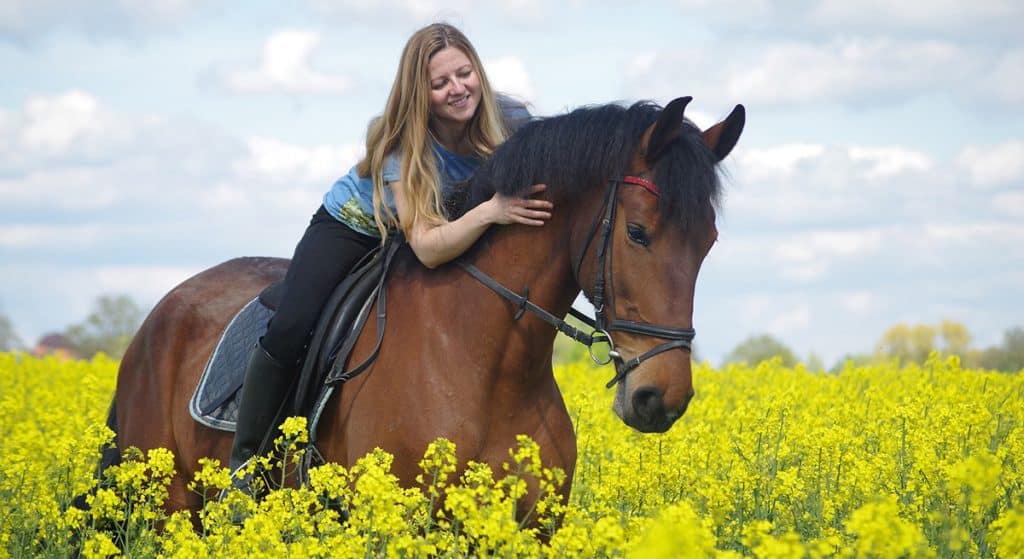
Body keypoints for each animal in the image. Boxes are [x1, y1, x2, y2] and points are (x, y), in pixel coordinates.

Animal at [113, 96, 744, 515]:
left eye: (710, 241)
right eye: (638, 233)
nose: (661, 398)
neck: (487, 363)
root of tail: (160, 314)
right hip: (166, 504)